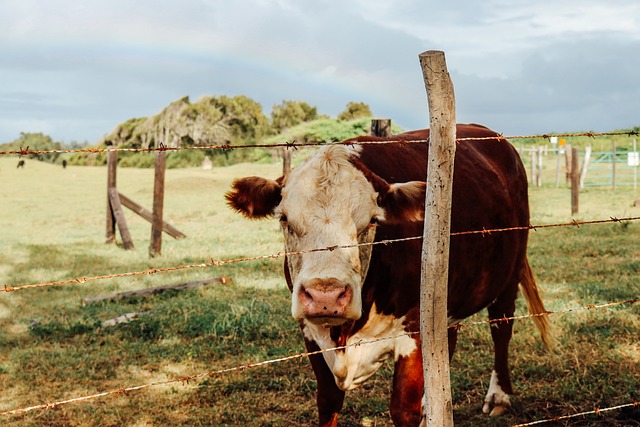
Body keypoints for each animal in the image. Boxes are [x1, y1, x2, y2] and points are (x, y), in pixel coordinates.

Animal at [225, 122, 552, 426]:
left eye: (372, 221)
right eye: (284, 219)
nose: (325, 296)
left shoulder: (415, 328)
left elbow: (403, 409)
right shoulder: (310, 332)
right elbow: (328, 401)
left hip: (508, 274)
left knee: (501, 328)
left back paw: (498, 396)